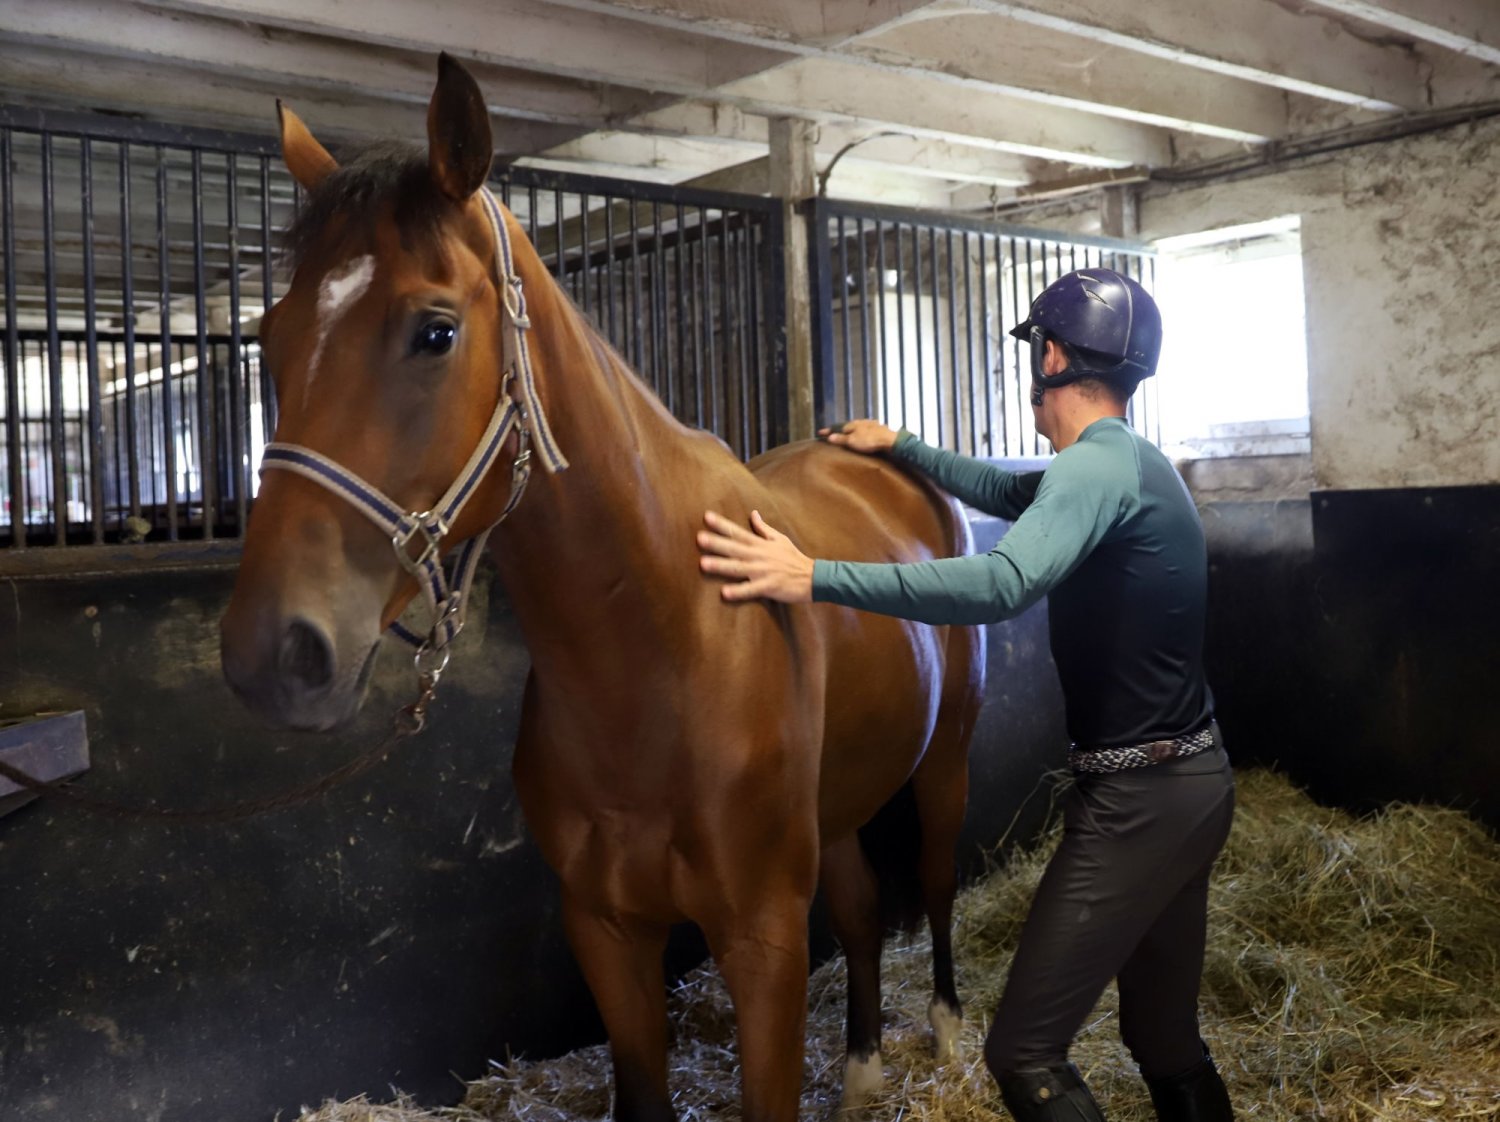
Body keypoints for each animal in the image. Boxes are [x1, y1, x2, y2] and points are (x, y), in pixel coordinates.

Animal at [219, 53, 984, 1122]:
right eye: (273, 335)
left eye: (435, 332)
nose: (271, 653)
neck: (660, 646)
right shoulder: (609, 935)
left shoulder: (764, 942)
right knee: (866, 912)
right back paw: (866, 1070)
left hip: (945, 763)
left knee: (941, 881)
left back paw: (947, 1035)